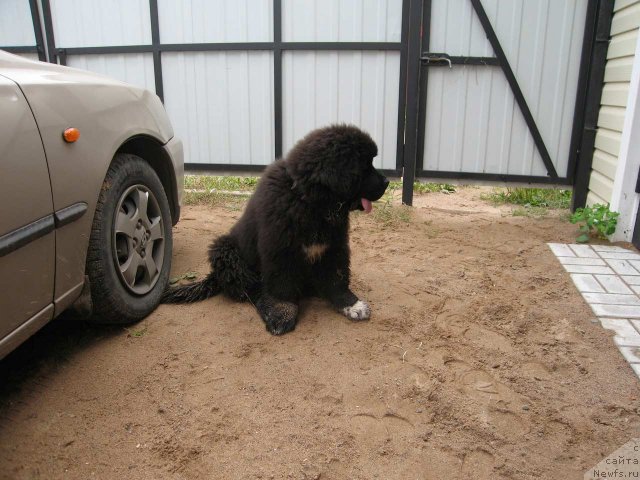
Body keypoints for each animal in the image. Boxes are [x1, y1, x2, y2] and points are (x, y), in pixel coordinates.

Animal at [162, 124, 388, 334]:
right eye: (365, 166)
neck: (310, 203)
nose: (386, 182)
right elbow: (282, 286)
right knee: (251, 288)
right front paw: (282, 313)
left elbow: (337, 278)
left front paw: (351, 304)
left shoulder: (334, 246)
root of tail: (215, 277)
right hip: (226, 250)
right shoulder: (280, 250)